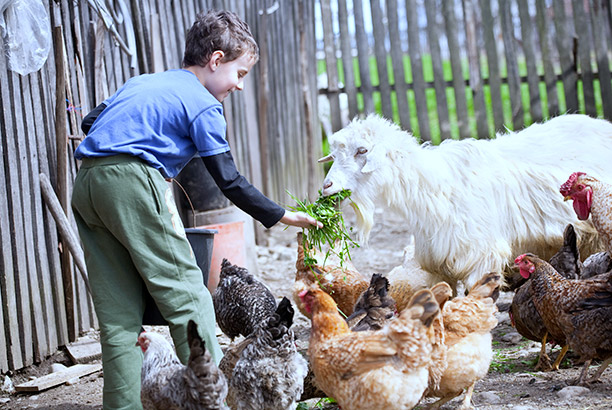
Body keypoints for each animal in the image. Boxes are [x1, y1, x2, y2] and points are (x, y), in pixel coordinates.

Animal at [320, 113, 612, 290]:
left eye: (362, 151)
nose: (326, 187)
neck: (431, 186)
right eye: (333, 154)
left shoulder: (480, 257)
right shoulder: (438, 264)